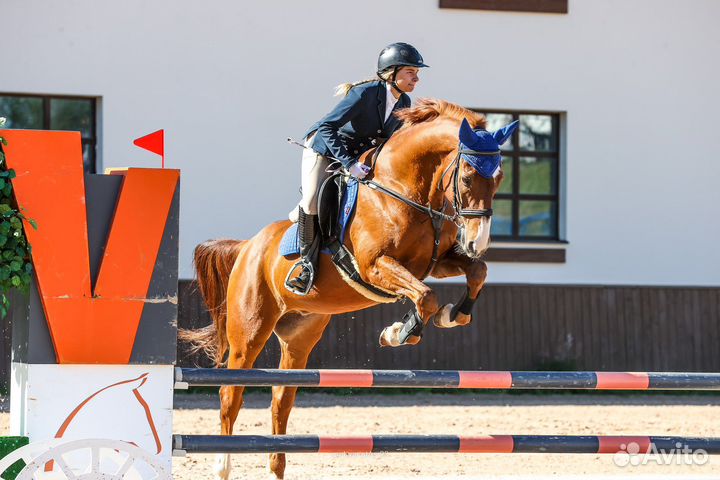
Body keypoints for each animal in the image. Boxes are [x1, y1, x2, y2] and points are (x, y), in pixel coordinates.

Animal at [180, 98, 516, 479]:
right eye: (468, 176)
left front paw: (452, 315)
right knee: (230, 393)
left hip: (299, 336)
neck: (404, 189)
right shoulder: (374, 266)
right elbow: (426, 297)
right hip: (248, 333)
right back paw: (222, 463)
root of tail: (247, 246)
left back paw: (276, 465)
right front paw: (400, 332)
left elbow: (476, 272)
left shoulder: (436, 262)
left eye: (500, 178)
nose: (477, 242)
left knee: (282, 397)